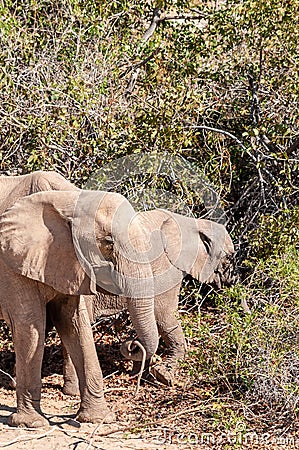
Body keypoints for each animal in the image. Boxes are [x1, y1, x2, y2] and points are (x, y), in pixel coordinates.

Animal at [0, 188, 159, 428]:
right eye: (109, 242)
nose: (132, 345)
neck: (65, 199)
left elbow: (74, 323)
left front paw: (99, 420)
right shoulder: (11, 265)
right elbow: (31, 325)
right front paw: (31, 424)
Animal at [55, 208, 234, 394]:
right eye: (229, 257)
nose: (231, 281)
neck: (193, 224)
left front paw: (142, 374)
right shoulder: (167, 266)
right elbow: (163, 315)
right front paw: (163, 376)